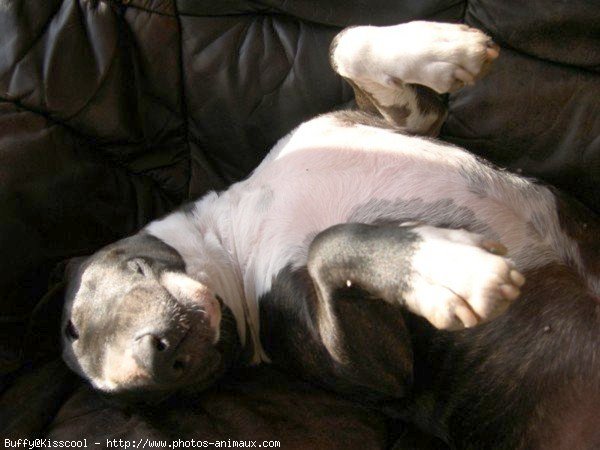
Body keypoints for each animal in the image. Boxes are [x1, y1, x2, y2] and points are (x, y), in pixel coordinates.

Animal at [62, 22, 600, 448]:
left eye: (74, 323)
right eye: (145, 397)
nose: (158, 359)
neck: (235, 234)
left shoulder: (407, 120)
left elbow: (344, 44)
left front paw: (448, 49)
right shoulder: (374, 371)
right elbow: (328, 245)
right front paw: (445, 272)